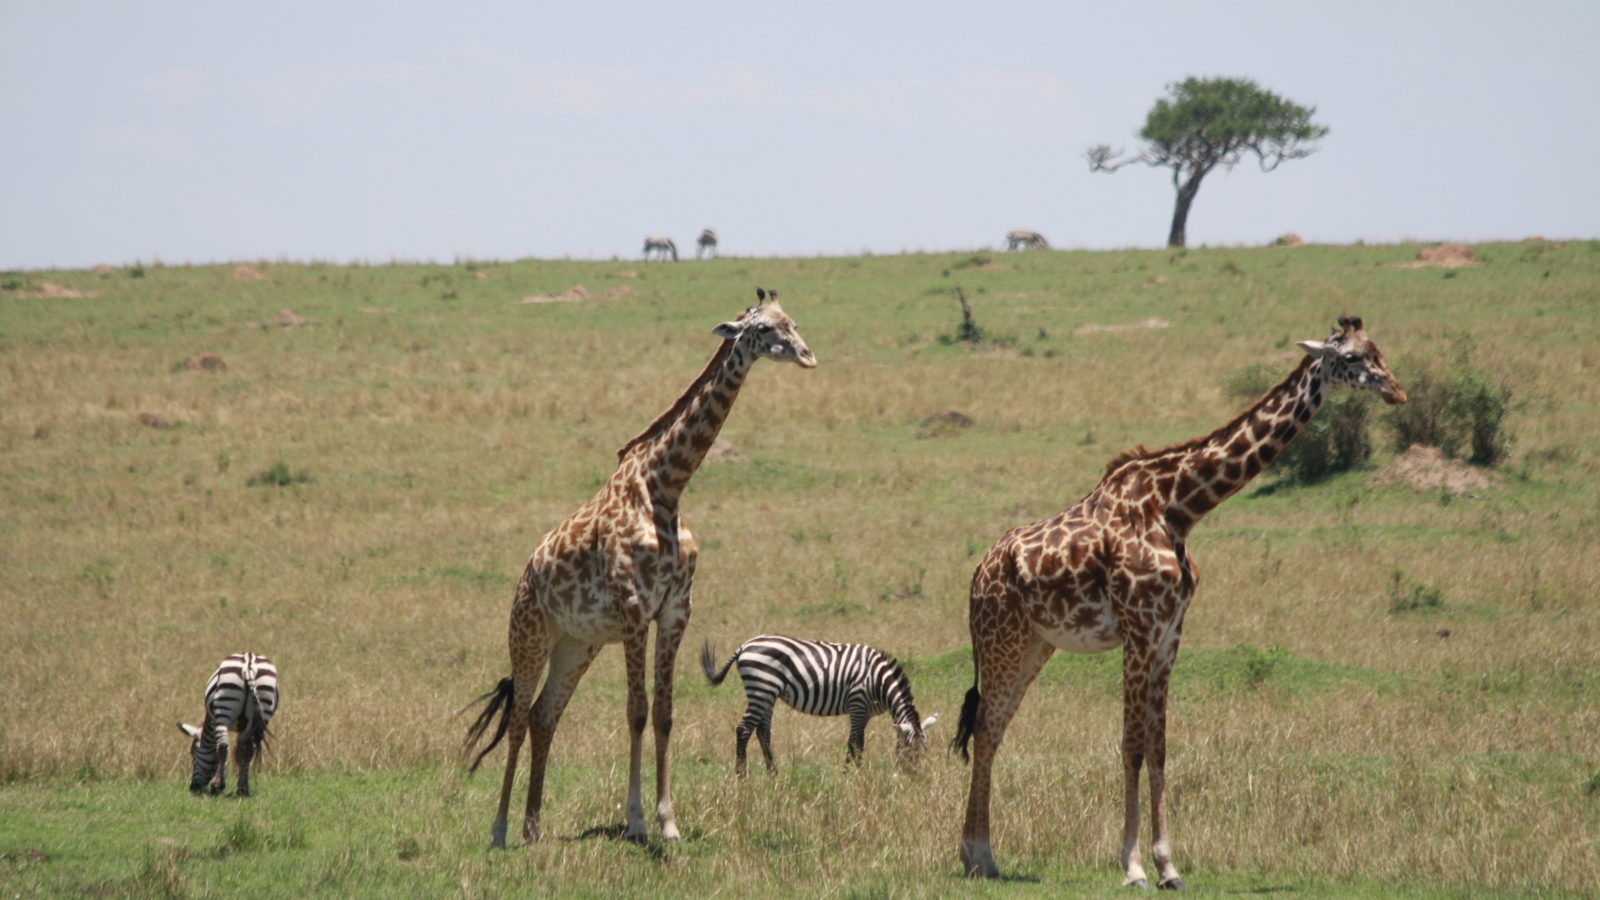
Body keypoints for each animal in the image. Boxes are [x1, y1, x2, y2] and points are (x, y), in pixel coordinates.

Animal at [176, 650, 280, 791]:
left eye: (192, 753)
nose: (193, 788)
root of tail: (249, 663)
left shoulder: (215, 722)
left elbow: (223, 751)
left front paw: (220, 784)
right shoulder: (244, 727)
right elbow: (242, 752)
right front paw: (242, 785)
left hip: (223, 709)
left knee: (223, 747)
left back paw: (217, 785)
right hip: (264, 706)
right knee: (249, 750)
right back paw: (243, 789)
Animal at [460, 288, 812, 845]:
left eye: (791, 321)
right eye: (760, 329)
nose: (805, 355)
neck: (665, 488)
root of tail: (524, 576)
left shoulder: (674, 611)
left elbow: (665, 714)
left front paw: (669, 822)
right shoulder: (632, 610)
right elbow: (637, 712)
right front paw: (638, 819)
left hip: (576, 646)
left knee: (543, 716)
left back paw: (534, 828)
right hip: (529, 635)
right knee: (517, 718)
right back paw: (499, 830)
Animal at [700, 630, 934, 771]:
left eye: (924, 751)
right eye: (911, 751)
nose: (915, 778)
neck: (878, 681)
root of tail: (745, 645)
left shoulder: (865, 712)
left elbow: (854, 742)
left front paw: (850, 772)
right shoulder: (857, 704)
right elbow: (856, 743)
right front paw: (853, 775)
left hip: (766, 693)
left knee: (763, 732)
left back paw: (773, 775)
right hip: (762, 687)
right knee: (744, 729)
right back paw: (742, 776)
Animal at [953, 315, 1408, 883]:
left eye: (1378, 350)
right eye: (1350, 358)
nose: (1397, 390)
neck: (1179, 507)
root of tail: (977, 575)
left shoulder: (1170, 634)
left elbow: (1159, 746)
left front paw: (1168, 864)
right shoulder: (1139, 629)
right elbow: (1130, 744)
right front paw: (1132, 867)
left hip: (1036, 646)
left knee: (991, 731)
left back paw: (979, 857)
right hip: (1002, 640)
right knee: (985, 729)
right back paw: (980, 854)